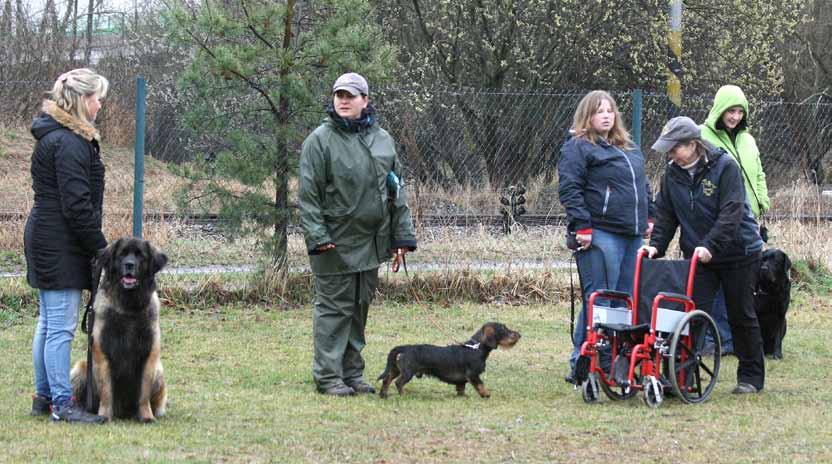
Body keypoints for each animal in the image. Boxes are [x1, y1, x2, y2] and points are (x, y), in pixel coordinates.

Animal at [71, 237, 169, 422]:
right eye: (122, 254)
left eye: (140, 255)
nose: (129, 264)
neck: (128, 306)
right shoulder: (102, 352)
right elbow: (107, 391)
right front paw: (104, 416)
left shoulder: (149, 354)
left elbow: (143, 394)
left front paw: (146, 416)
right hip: (81, 368)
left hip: (160, 372)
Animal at [376, 322, 520, 398]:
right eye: (504, 329)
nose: (519, 334)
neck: (476, 348)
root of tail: (404, 348)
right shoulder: (473, 375)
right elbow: (480, 384)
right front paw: (486, 395)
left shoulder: (462, 380)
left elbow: (461, 388)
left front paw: (463, 396)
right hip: (407, 372)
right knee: (398, 383)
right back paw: (403, 395)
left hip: (395, 369)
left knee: (386, 380)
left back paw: (383, 395)